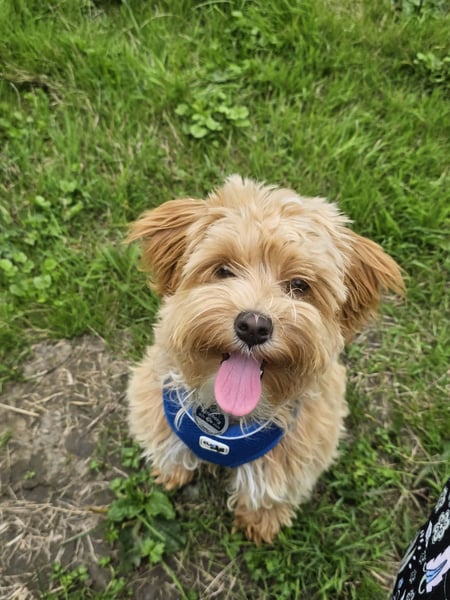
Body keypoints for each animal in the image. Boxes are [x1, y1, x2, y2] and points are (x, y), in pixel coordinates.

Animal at [126, 176, 404, 544]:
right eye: (224, 269)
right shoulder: (154, 404)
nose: (254, 326)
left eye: (299, 285)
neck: (226, 419)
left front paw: (262, 521)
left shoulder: (298, 447)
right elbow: (168, 447)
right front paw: (171, 471)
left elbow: (272, 490)